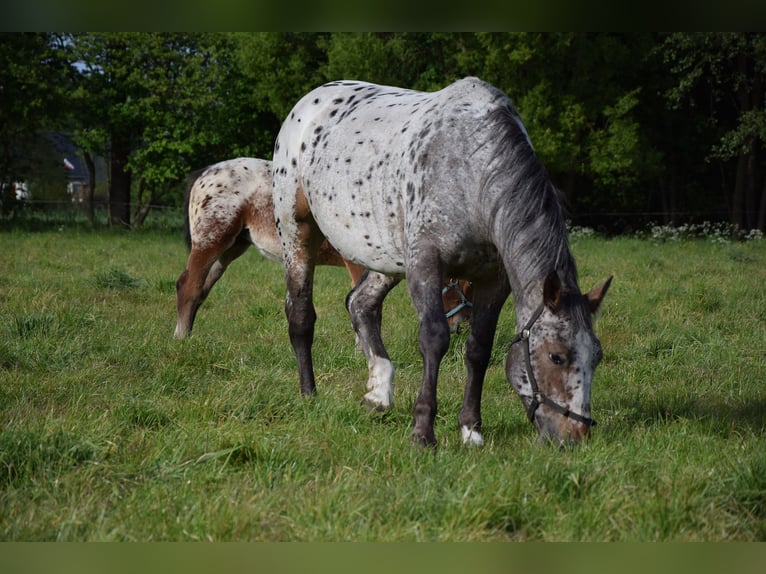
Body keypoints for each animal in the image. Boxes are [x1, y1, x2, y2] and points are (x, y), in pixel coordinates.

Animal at [174, 157, 473, 339]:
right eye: (463, 284)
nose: (460, 326)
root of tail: (205, 173)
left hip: (230, 250)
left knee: (202, 288)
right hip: (211, 242)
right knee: (189, 286)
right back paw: (181, 338)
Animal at [272, 77, 612, 447]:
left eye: (597, 356)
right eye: (556, 356)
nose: (574, 436)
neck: (472, 170)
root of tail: (309, 102)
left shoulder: (493, 280)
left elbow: (478, 349)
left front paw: (471, 430)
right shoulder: (426, 265)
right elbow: (434, 339)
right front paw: (423, 432)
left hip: (387, 257)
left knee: (360, 304)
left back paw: (379, 394)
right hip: (298, 235)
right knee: (301, 314)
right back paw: (309, 394)